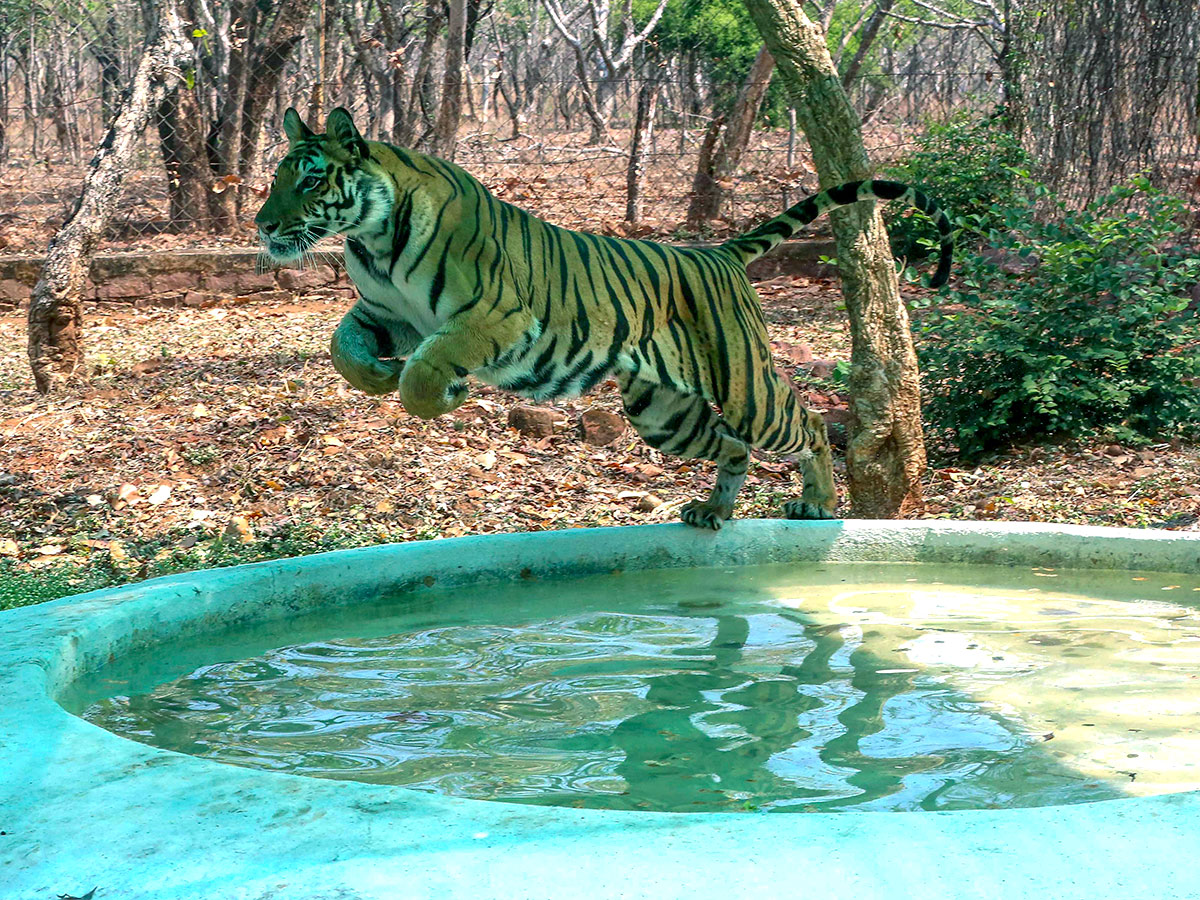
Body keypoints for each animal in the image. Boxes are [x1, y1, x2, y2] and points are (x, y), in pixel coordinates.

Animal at [258, 107, 950, 528]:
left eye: (311, 180)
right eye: (277, 178)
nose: (262, 225)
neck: (372, 238)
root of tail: (719, 252)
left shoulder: (496, 317)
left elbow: (424, 375)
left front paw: (441, 394)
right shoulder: (386, 313)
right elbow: (340, 348)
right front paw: (374, 375)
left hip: (745, 388)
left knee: (806, 424)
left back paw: (819, 502)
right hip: (663, 413)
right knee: (731, 447)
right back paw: (712, 511)